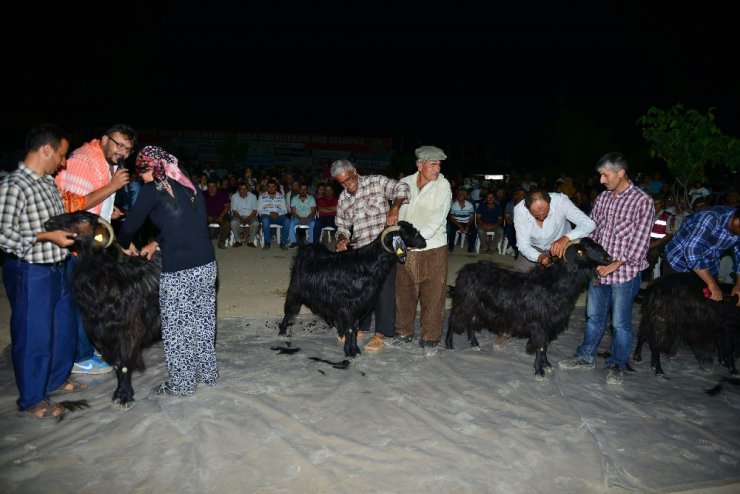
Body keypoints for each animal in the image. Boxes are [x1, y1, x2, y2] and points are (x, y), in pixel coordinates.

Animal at [44, 210, 161, 408]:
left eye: (84, 219)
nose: (48, 223)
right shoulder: (103, 333)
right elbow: (116, 364)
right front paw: (119, 392)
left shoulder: (126, 331)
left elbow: (124, 363)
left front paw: (125, 396)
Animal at [278, 222, 428, 356]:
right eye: (407, 233)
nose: (424, 243)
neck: (369, 263)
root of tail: (305, 246)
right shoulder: (349, 306)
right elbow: (350, 328)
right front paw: (349, 351)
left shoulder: (360, 306)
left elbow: (354, 329)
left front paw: (355, 349)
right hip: (296, 287)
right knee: (289, 309)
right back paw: (282, 331)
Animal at [446, 238, 612, 378]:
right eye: (587, 249)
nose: (609, 258)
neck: (555, 284)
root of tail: (465, 269)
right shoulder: (539, 324)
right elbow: (539, 346)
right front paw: (539, 371)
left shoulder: (549, 325)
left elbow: (545, 346)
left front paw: (547, 364)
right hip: (464, 301)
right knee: (453, 319)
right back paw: (449, 345)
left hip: (476, 305)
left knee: (469, 321)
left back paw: (474, 343)